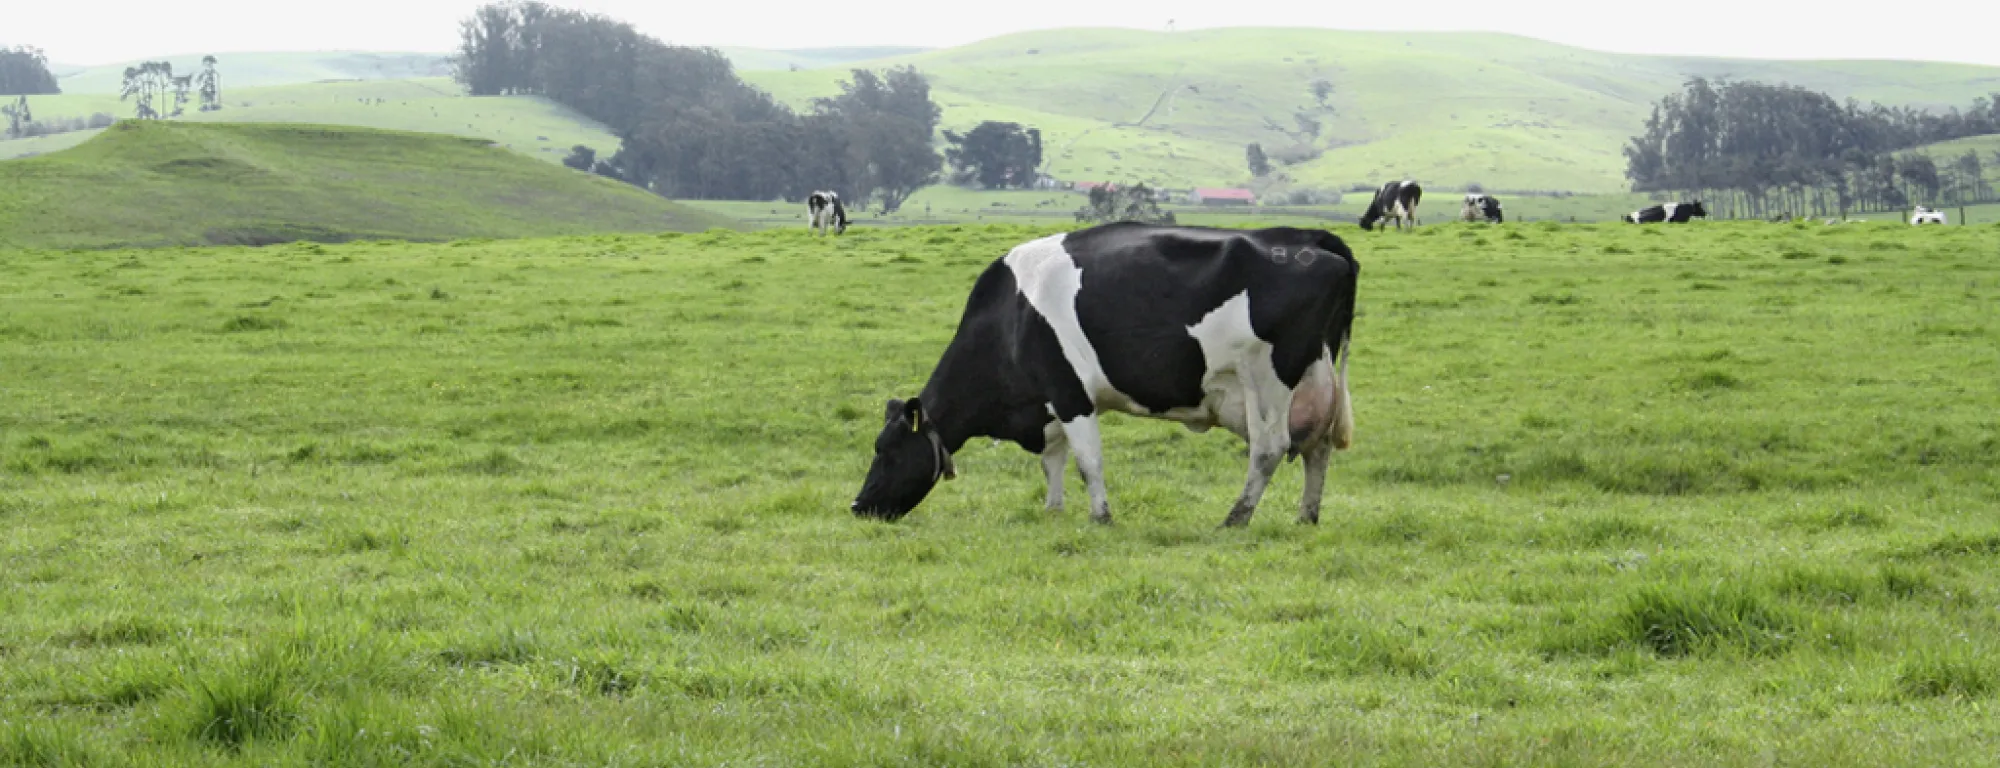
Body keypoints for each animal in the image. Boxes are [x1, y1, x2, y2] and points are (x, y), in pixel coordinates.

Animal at [851, 222, 1359, 528]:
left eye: (887, 451)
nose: (858, 506)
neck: (1010, 315)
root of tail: (1310, 238)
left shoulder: (1070, 392)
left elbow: (1086, 461)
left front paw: (1100, 517)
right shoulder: (1047, 402)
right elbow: (1053, 460)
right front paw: (1053, 510)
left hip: (1268, 378)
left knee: (1269, 449)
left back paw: (1235, 519)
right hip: (1315, 379)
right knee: (1317, 448)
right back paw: (1306, 517)